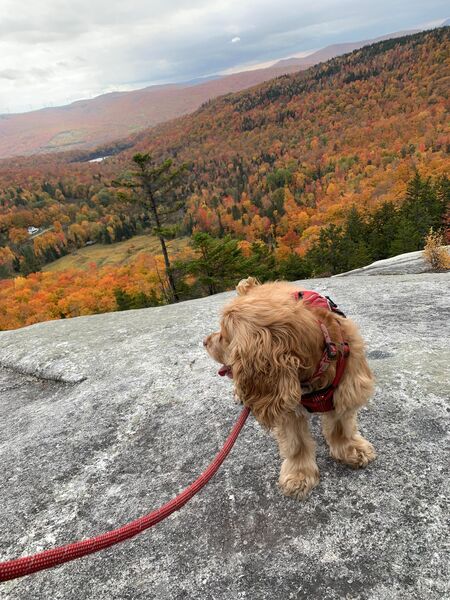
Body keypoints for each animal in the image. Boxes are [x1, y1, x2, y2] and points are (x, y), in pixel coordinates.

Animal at [204, 278, 376, 500]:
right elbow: (296, 443)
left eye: (224, 336)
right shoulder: (284, 405)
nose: (205, 341)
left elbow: (341, 426)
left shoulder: (347, 389)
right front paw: (299, 475)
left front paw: (351, 449)